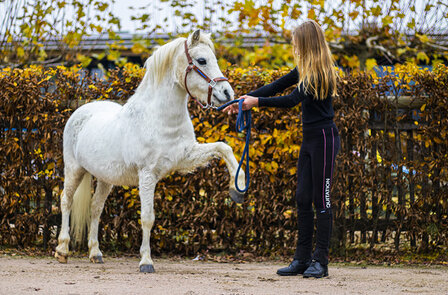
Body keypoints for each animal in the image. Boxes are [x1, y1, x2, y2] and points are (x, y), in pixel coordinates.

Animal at [55, 31, 248, 274]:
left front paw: (237, 188)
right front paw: (146, 262)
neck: (158, 118)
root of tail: (81, 111)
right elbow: (147, 218)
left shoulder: (185, 157)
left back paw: (95, 253)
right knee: (66, 201)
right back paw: (62, 250)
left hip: (105, 179)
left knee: (95, 208)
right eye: (202, 60)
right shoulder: (147, 175)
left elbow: (224, 147)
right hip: (74, 170)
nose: (227, 93)